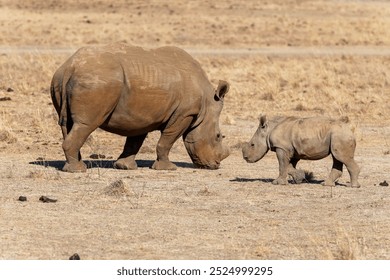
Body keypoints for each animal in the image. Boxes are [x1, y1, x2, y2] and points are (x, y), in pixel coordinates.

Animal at [50, 42, 230, 172]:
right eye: (218, 136)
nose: (215, 165)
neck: (206, 105)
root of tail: (70, 67)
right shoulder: (185, 114)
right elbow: (167, 139)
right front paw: (168, 168)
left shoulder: (142, 114)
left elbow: (135, 140)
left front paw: (125, 167)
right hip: (96, 80)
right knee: (85, 125)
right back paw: (78, 170)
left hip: (62, 78)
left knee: (68, 125)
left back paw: (76, 166)